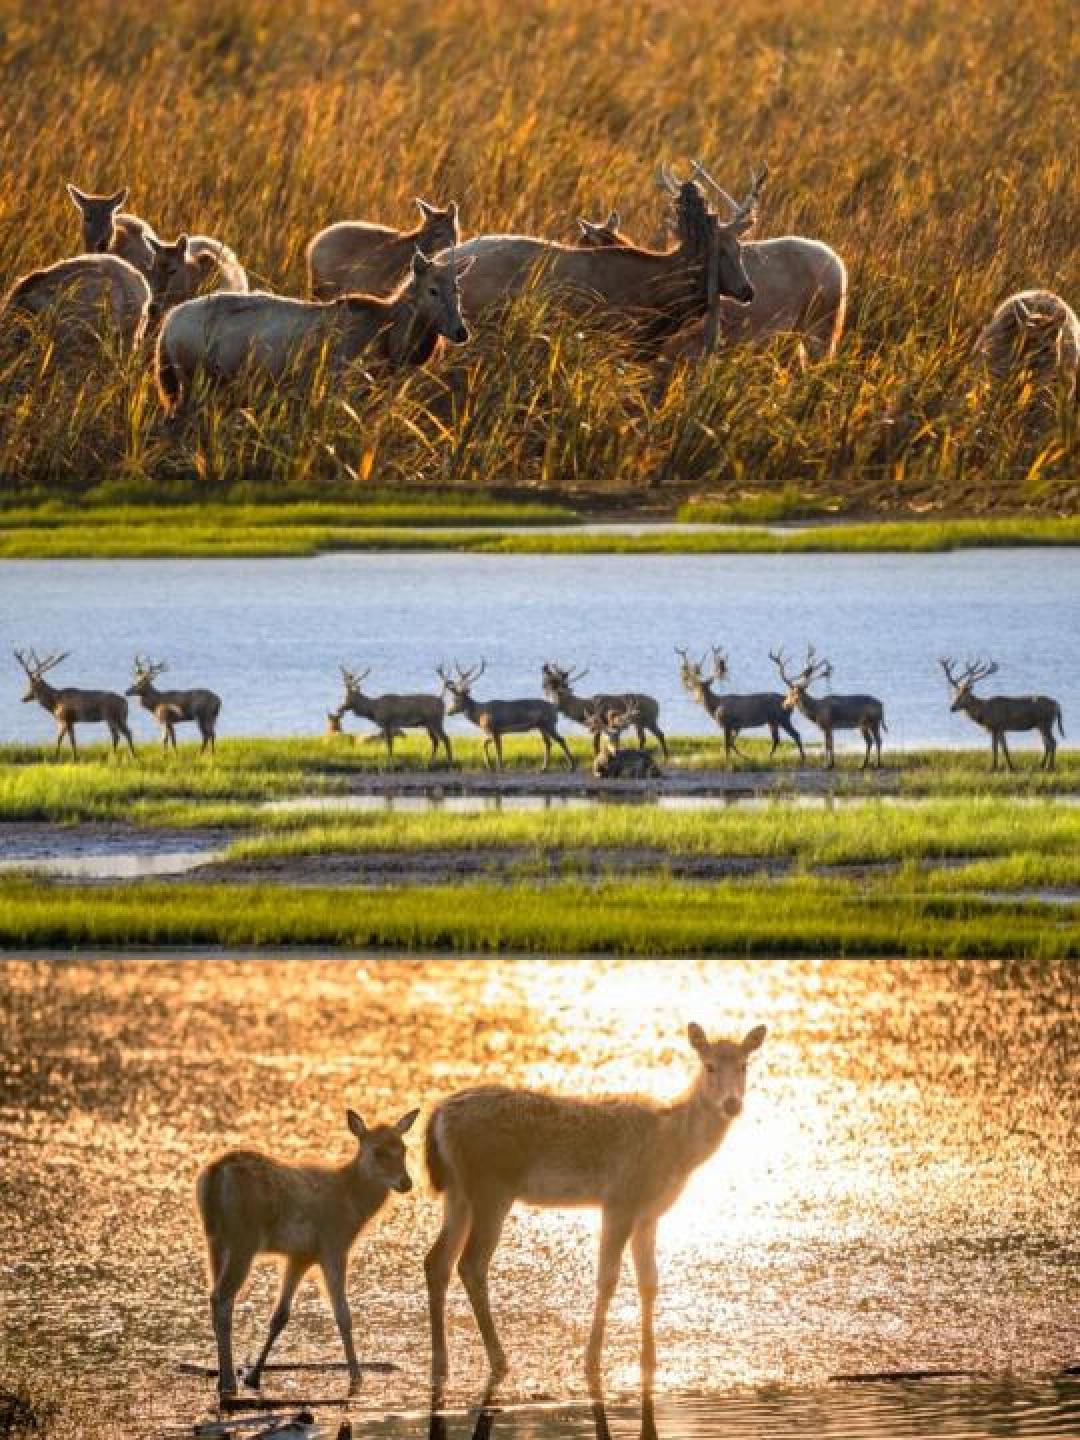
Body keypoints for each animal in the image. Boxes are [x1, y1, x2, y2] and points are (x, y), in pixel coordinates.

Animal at [196, 1107, 419, 1400]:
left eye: (404, 1148)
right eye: (378, 1151)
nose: (406, 1182)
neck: (352, 1203)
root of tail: (214, 1175)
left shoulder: (300, 1255)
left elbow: (280, 1316)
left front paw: (254, 1375)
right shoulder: (333, 1245)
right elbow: (343, 1315)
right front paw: (357, 1377)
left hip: (215, 1239)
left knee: (219, 1298)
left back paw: (226, 1378)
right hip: (243, 1237)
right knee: (221, 1298)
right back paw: (228, 1383)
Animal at [424, 1022, 767, 1404]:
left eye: (744, 1066)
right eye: (709, 1066)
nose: (732, 1104)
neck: (673, 1148)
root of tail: (438, 1116)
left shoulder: (649, 1213)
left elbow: (649, 1282)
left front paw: (650, 1361)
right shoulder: (619, 1200)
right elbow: (608, 1279)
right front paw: (591, 1360)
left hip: (458, 1192)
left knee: (436, 1261)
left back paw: (441, 1363)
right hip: (491, 1188)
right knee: (471, 1263)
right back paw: (499, 1359)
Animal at [437, 660, 574, 771]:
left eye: (456, 700)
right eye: (452, 698)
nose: (448, 711)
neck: (480, 714)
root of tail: (554, 707)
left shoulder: (494, 729)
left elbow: (498, 749)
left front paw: (499, 767)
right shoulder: (494, 732)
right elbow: (484, 744)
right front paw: (490, 766)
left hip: (549, 723)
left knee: (561, 740)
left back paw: (571, 766)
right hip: (541, 726)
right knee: (548, 743)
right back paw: (543, 768)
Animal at [676, 646, 804, 766]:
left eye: (705, 688)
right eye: (696, 687)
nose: (698, 699)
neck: (716, 707)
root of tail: (788, 702)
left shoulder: (727, 723)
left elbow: (726, 744)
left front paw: (728, 760)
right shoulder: (736, 726)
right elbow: (731, 743)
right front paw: (745, 758)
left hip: (783, 718)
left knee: (795, 734)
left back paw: (802, 757)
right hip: (772, 721)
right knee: (776, 739)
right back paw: (769, 757)